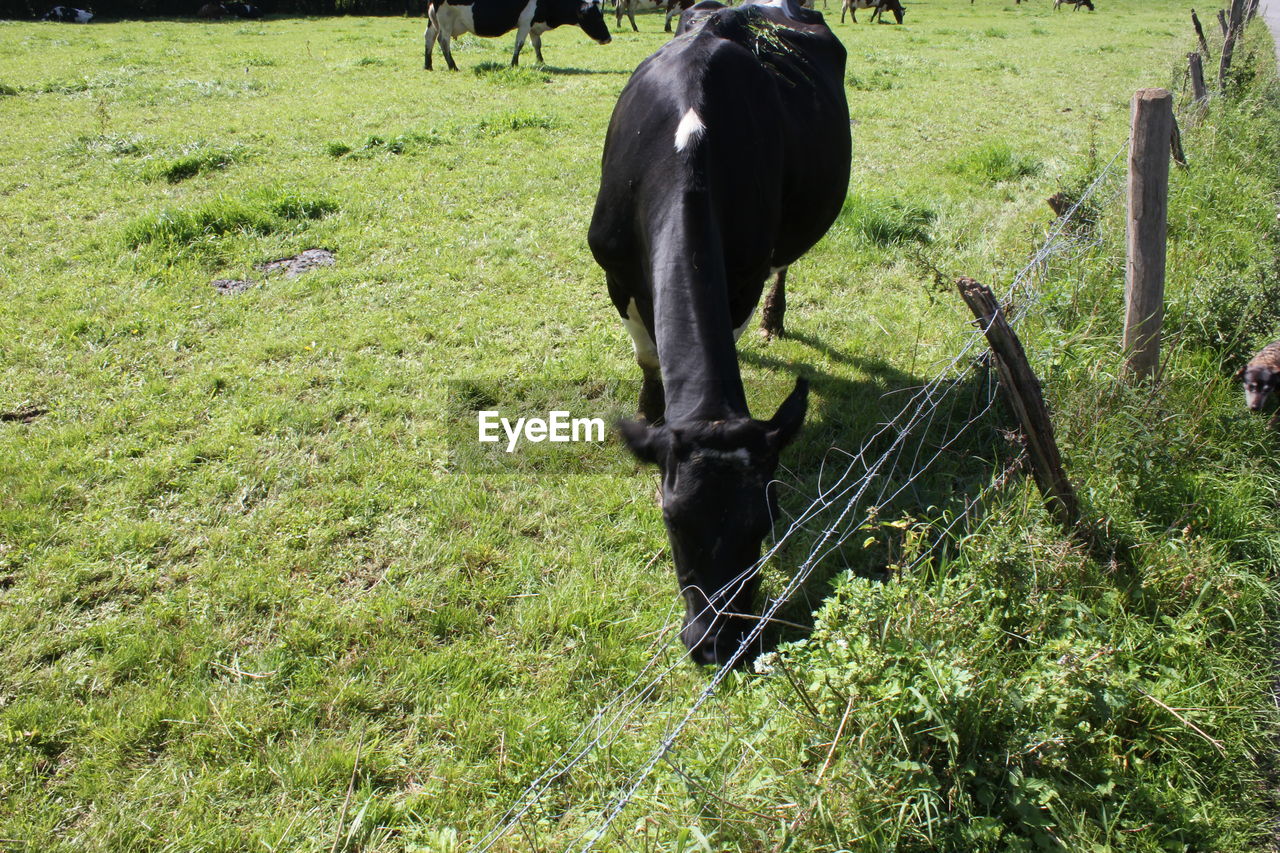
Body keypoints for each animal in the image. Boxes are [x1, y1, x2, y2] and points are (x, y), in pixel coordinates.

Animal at [422, 0, 611, 70]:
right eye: (596, 16)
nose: (609, 38)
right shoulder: (525, 22)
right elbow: (519, 44)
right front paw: (514, 64)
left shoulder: (533, 25)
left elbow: (537, 44)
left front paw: (541, 62)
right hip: (446, 19)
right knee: (443, 41)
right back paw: (452, 66)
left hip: (433, 21)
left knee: (429, 38)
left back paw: (428, 65)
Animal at [586, 0, 849, 666]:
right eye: (673, 520)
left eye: (766, 521)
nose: (717, 644)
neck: (686, 145)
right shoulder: (614, 268)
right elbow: (648, 355)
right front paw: (650, 412)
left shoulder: (743, 274)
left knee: (786, 260)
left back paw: (776, 319)